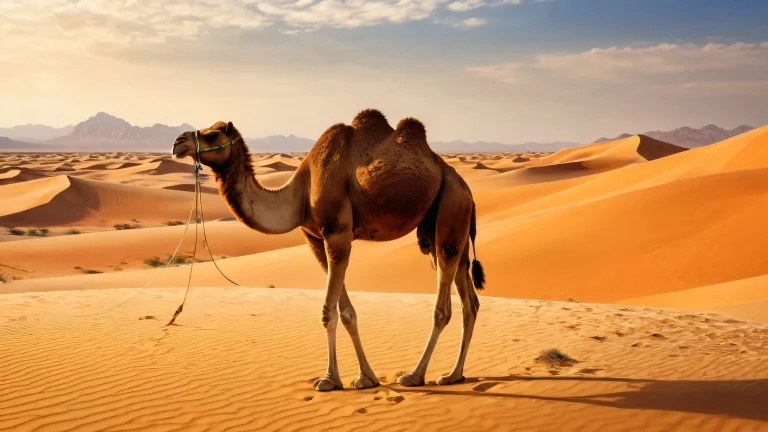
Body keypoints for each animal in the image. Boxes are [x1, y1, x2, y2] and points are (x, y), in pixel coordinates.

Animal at [172, 109, 485, 391]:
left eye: (212, 135)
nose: (178, 142)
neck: (299, 193)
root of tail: (465, 186)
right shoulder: (314, 239)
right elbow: (345, 312)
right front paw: (365, 378)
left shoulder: (337, 233)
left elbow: (327, 312)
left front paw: (329, 380)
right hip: (439, 228)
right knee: (468, 299)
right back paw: (454, 375)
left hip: (451, 204)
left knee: (443, 308)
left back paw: (414, 375)